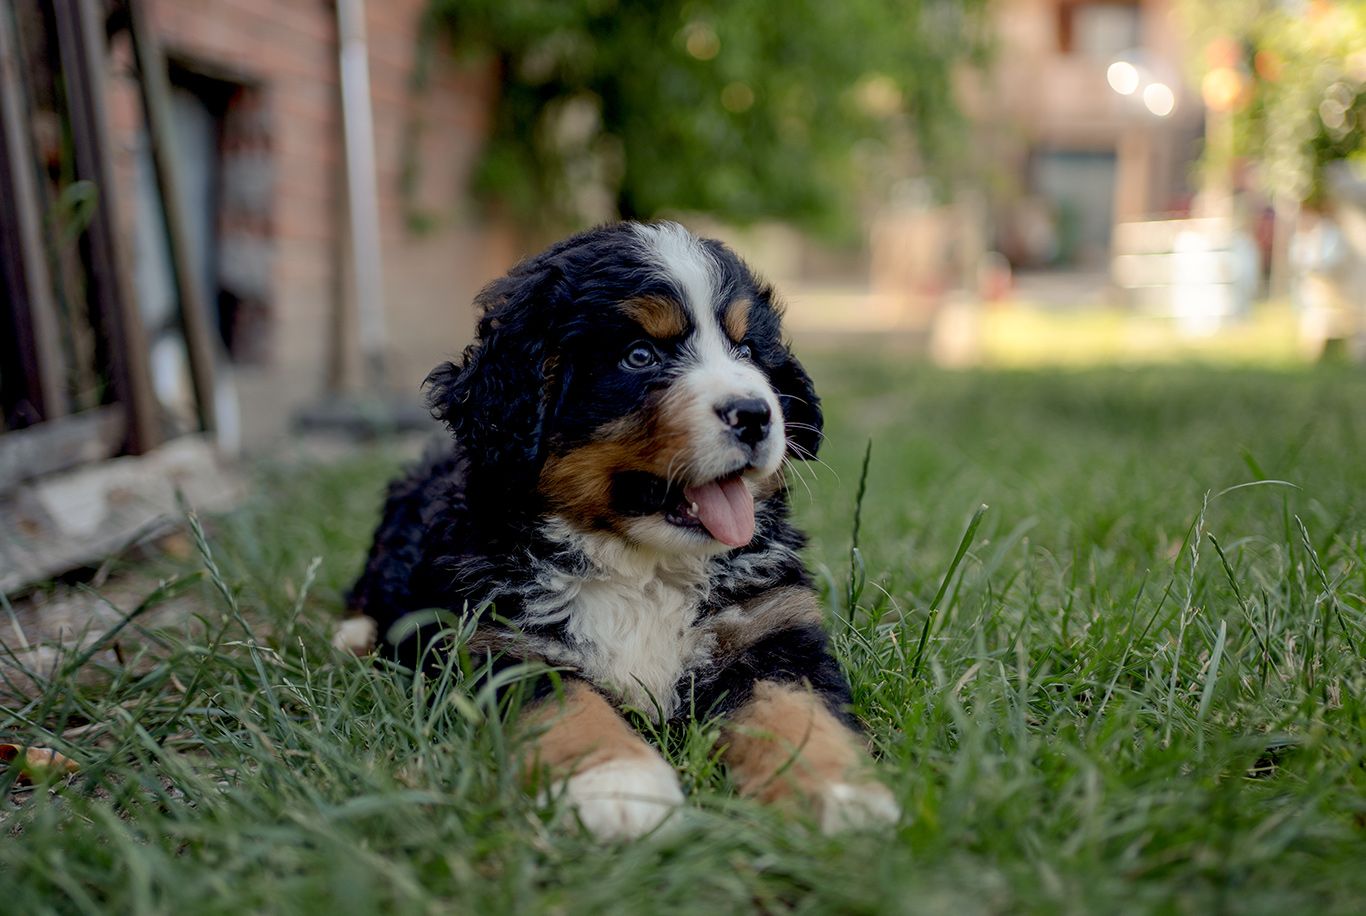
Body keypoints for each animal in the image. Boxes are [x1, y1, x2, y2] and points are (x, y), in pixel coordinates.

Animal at [340, 219, 896, 840]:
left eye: (747, 350)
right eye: (639, 356)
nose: (756, 414)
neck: (644, 569)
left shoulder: (771, 630)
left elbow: (796, 713)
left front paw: (837, 791)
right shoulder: (499, 645)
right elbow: (571, 706)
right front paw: (620, 785)